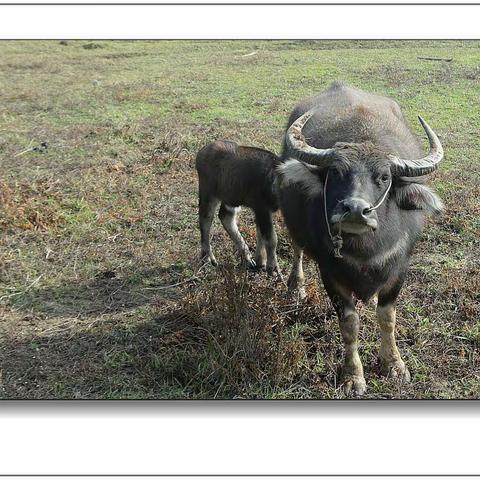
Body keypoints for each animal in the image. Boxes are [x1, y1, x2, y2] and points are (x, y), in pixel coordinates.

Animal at [276, 82, 444, 396]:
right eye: (336, 172)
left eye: (383, 177)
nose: (355, 209)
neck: (366, 250)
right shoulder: (331, 273)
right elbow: (349, 324)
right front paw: (353, 376)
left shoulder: (399, 268)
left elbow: (387, 317)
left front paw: (394, 365)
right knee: (297, 249)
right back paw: (296, 287)